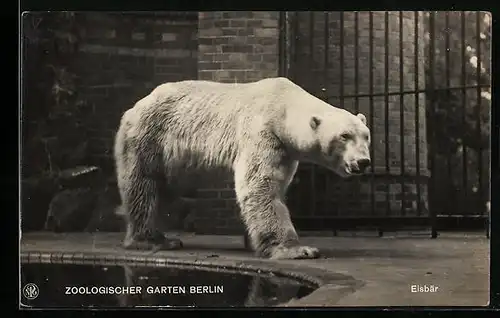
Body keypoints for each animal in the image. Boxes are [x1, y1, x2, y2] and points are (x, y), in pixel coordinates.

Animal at [114, 77, 372, 258]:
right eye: (344, 136)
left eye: (366, 135)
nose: (363, 162)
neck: (283, 106)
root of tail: (135, 107)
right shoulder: (263, 132)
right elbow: (260, 186)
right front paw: (296, 250)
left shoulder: (286, 150)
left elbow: (276, 187)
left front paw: (252, 241)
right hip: (150, 137)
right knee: (144, 184)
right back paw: (153, 240)